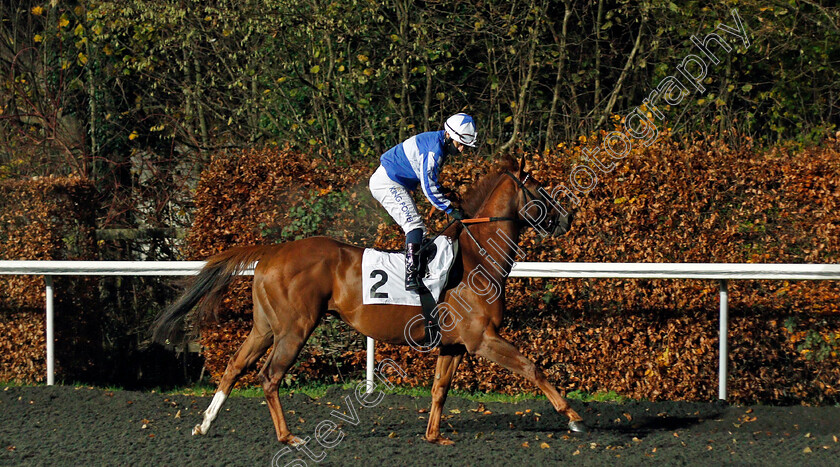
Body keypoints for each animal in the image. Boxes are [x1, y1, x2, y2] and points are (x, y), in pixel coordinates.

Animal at [151, 156, 584, 446]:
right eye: (540, 188)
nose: (567, 218)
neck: (475, 259)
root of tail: (273, 251)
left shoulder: (454, 344)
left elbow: (439, 389)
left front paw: (433, 436)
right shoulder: (482, 339)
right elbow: (532, 368)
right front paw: (573, 417)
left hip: (265, 326)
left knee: (235, 367)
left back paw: (205, 423)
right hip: (294, 328)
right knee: (269, 377)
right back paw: (288, 437)